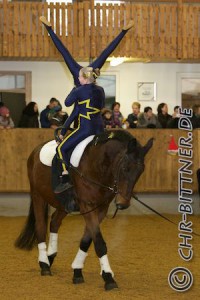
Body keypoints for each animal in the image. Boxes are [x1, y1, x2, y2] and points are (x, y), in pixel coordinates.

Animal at [15, 129, 153, 290]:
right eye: (125, 168)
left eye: (141, 171)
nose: (122, 204)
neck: (97, 165)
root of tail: (36, 150)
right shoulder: (87, 205)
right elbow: (99, 243)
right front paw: (108, 277)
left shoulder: (101, 209)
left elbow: (87, 240)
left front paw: (77, 271)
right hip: (38, 195)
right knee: (41, 227)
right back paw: (44, 264)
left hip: (63, 204)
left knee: (54, 222)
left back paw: (51, 256)